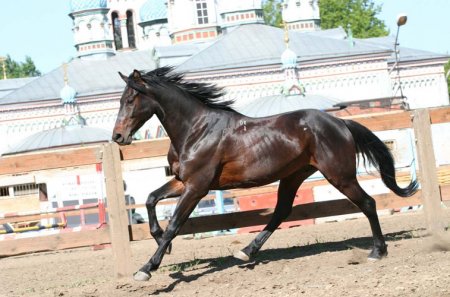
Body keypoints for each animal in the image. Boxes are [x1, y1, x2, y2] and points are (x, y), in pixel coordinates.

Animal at [112, 66, 418, 280]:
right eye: (121, 100)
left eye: (131, 99)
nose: (117, 136)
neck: (196, 129)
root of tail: (340, 123)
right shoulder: (182, 181)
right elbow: (151, 200)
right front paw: (161, 244)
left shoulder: (197, 187)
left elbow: (174, 225)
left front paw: (146, 268)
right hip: (293, 176)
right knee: (281, 212)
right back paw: (246, 251)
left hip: (339, 176)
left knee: (368, 203)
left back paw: (378, 251)